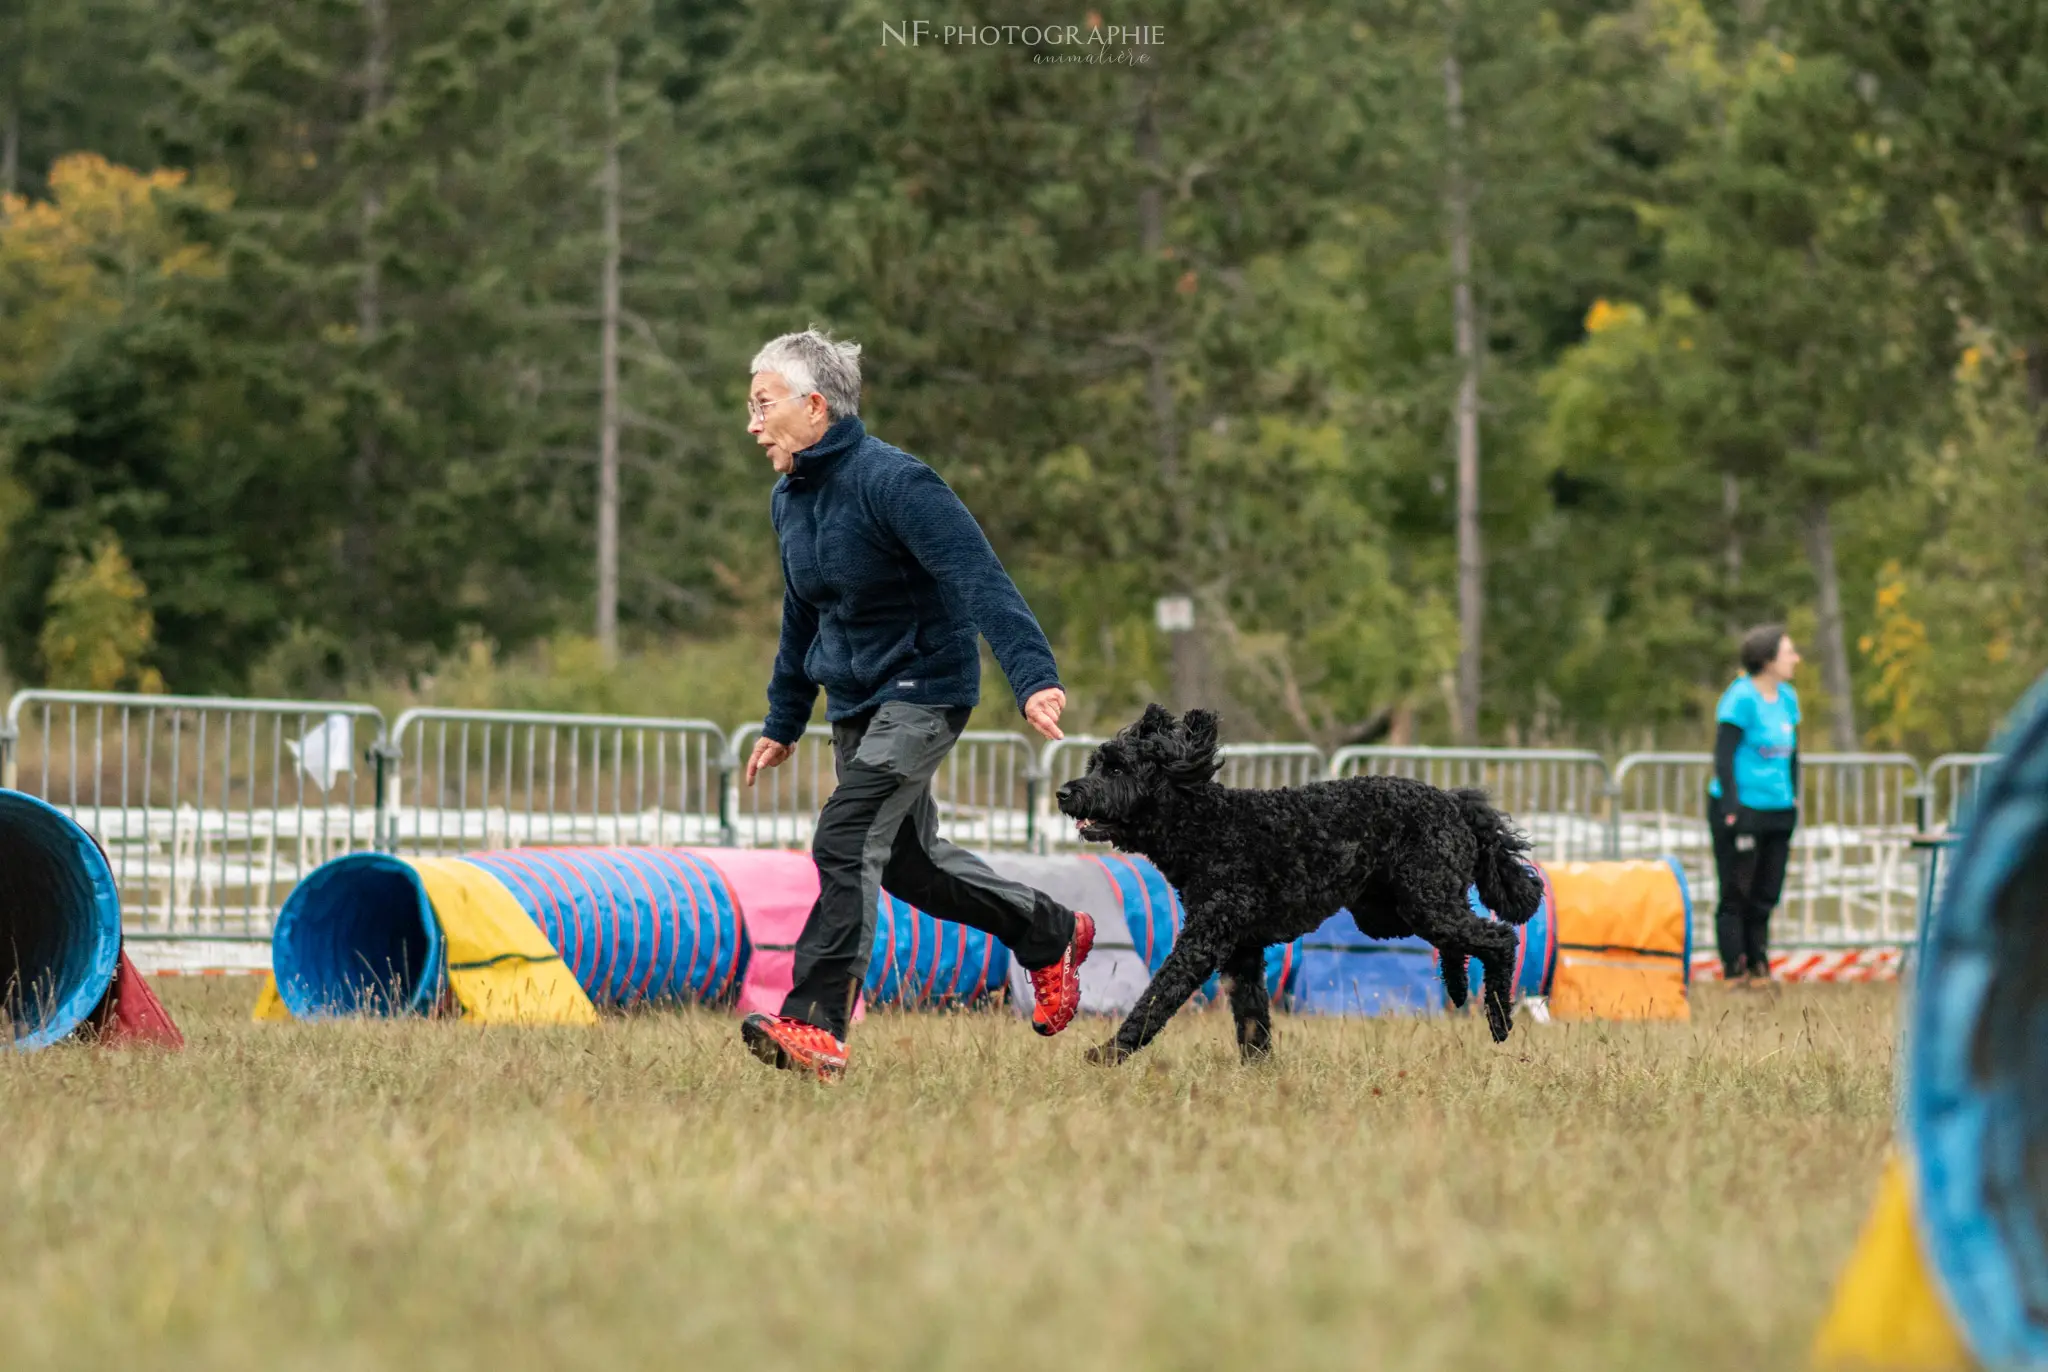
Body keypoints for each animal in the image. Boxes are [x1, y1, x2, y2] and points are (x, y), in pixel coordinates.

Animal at [1048, 704, 1540, 1073]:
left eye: (1117, 769)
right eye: (1095, 764)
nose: (1064, 793)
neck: (1206, 827)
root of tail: (1455, 802)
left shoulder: (1203, 941)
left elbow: (1156, 999)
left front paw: (1108, 1053)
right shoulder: (1241, 950)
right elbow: (1252, 1019)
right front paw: (1259, 1072)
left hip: (1422, 901)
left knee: (1499, 938)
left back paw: (1499, 1019)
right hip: (1395, 912)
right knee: (1461, 939)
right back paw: (1457, 989)